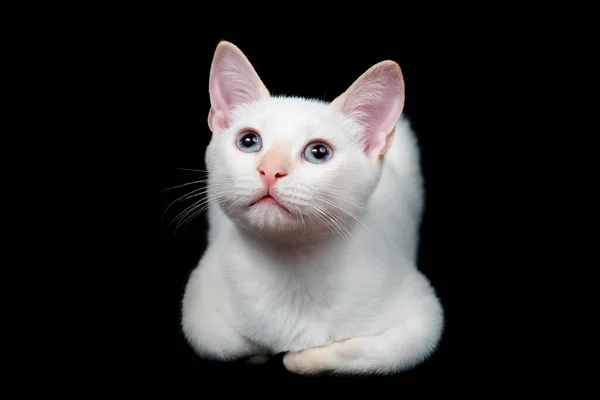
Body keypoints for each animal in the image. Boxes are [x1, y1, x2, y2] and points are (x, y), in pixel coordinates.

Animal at [180, 40, 442, 376]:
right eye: (249, 141)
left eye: (318, 152)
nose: (271, 170)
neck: (291, 269)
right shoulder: (197, 301)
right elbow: (221, 340)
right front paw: (259, 353)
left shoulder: (423, 317)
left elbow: (364, 350)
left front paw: (300, 358)